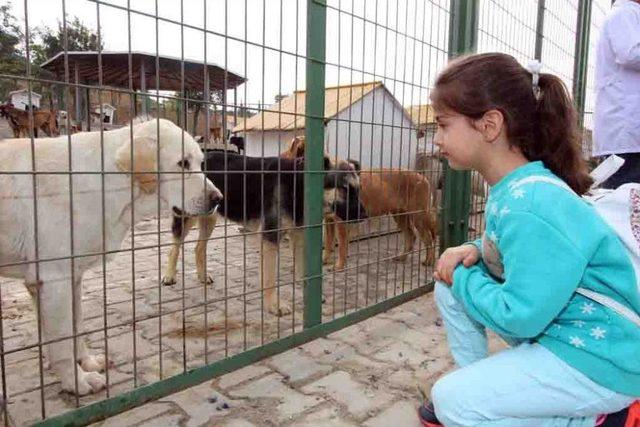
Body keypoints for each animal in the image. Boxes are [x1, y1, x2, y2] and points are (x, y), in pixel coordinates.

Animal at [161, 149, 364, 316]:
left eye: (358, 189)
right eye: (345, 189)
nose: (365, 216)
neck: (298, 185)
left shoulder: (299, 236)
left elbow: (302, 271)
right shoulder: (270, 237)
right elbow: (270, 278)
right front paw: (273, 305)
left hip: (209, 218)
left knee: (198, 248)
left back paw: (202, 276)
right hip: (186, 217)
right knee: (175, 246)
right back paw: (169, 276)